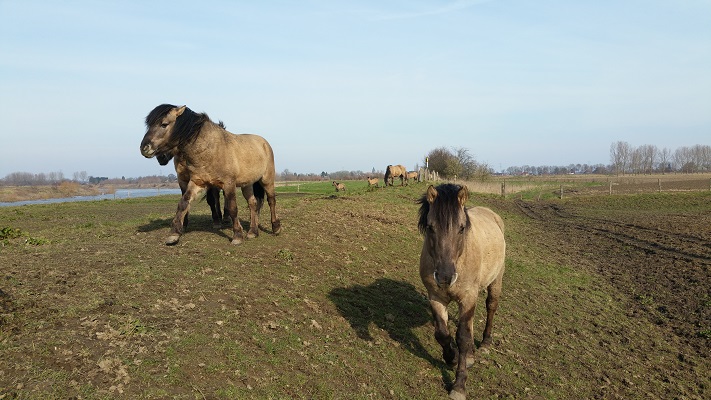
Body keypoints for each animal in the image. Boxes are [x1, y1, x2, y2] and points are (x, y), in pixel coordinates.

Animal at [140, 103, 282, 245]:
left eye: (164, 124)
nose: (144, 148)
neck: (211, 149)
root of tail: (263, 143)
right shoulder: (197, 182)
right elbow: (183, 203)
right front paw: (174, 234)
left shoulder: (228, 184)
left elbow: (232, 207)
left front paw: (237, 235)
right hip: (247, 184)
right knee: (253, 203)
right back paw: (253, 231)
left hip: (267, 180)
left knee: (271, 200)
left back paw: (276, 228)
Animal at [418, 184, 506, 400]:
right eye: (430, 227)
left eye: (461, 228)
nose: (445, 276)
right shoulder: (436, 297)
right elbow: (442, 334)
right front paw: (452, 358)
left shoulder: (467, 298)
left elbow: (463, 338)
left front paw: (459, 385)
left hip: (495, 281)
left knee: (491, 307)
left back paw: (485, 344)